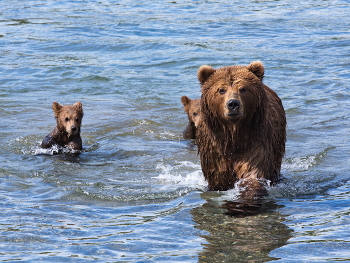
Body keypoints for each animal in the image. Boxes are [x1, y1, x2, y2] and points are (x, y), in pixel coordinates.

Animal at [196, 62, 286, 201]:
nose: (233, 104)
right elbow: (218, 177)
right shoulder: (215, 149)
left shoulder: (256, 140)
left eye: (243, 89)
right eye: (221, 90)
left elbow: (252, 172)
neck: (234, 133)